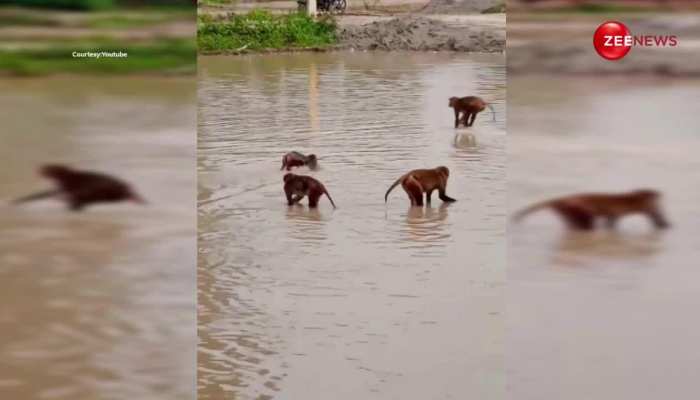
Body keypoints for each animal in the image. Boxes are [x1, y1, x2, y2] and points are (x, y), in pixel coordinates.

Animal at [512, 189, 668, 230]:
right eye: (654, 195)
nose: (659, 194)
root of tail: (558, 199)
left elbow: (610, 221)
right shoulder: (617, 210)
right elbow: (611, 220)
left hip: (565, 210)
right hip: (572, 208)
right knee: (586, 220)